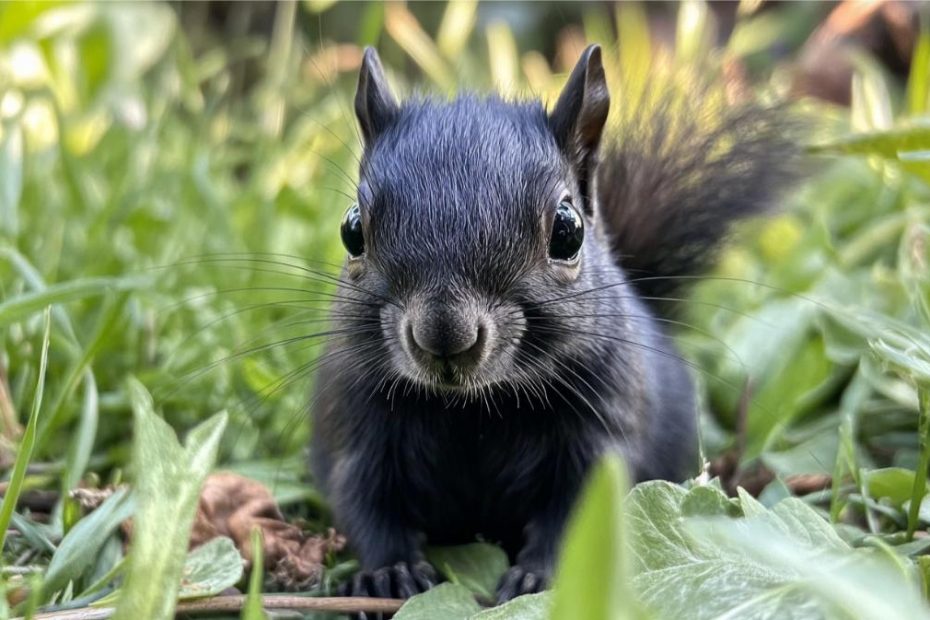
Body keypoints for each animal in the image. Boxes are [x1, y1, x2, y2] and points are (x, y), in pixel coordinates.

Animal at [308, 43, 792, 604]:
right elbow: (364, 501)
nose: (444, 335)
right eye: (352, 230)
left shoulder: (601, 425)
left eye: (568, 231)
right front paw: (391, 570)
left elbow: (580, 512)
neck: (473, 408)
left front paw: (539, 578)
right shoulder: (356, 421)